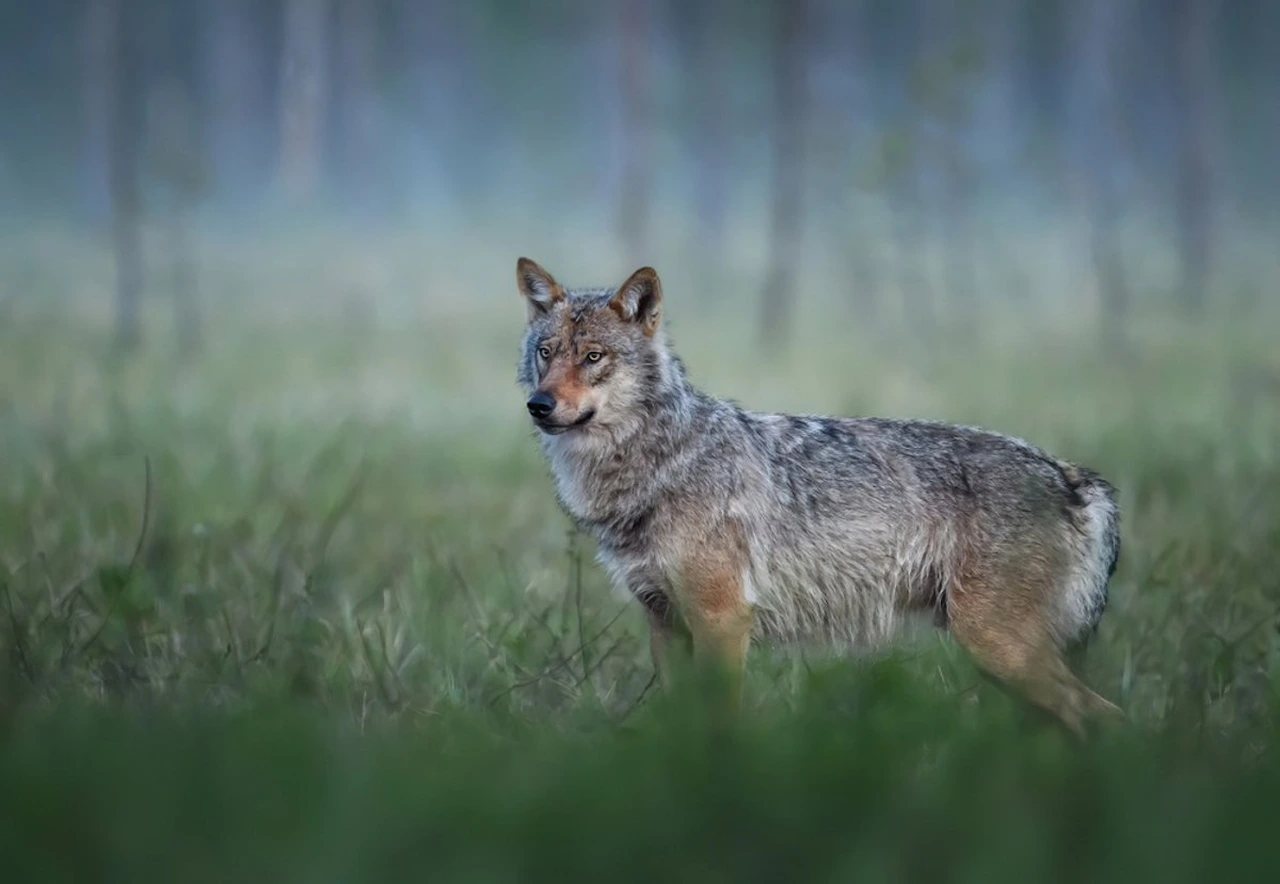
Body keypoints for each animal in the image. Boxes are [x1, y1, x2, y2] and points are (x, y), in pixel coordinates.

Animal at [514, 257, 1123, 735]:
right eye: (547, 352)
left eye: (594, 357)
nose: (539, 406)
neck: (659, 462)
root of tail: (1074, 477)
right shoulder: (665, 624)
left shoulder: (722, 619)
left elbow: (720, 722)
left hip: (999, 649)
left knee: (1109, 717)